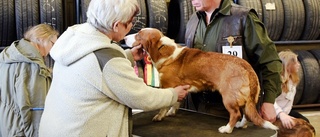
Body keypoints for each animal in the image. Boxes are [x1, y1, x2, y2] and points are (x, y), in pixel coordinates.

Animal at [130, 28, 278, 134]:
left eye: (138, 35)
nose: (126, 37)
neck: (165, 51)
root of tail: (248, 68)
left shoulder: (167, 86)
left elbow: (165, 106)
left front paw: (160, 116)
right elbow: (176, 102)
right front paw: (172, 111)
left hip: (228, 97)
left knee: (236, 114)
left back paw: (227, 129)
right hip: (248, 100)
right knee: (246, 114)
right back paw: (240, 125)